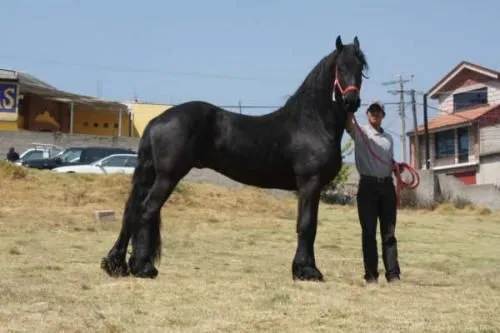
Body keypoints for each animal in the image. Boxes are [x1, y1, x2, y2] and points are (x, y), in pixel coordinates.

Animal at [100, 35, 368, 280]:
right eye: (340, 67)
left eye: (361, 69)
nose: (351, 101)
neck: (310, 123)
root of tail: (157, 120)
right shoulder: (309, 184)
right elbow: (307, 225)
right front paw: (307, 271)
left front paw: (304, 269)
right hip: (168, 176)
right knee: (146, 210)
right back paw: (143, 268)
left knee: (132, 212)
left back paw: (118, 265)